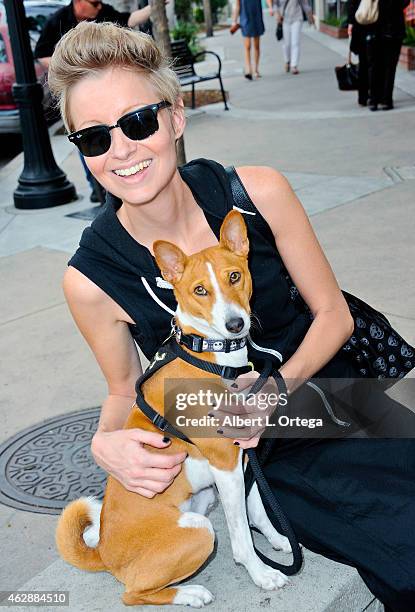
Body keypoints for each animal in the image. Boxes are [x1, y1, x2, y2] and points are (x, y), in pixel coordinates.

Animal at [55, 212, 290, 608]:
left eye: (234, 276)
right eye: (200, 290)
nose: (235, 325)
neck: (208, 355)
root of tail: (103, 552)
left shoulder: (244, 453)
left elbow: (256, 506)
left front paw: (275, 540)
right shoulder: (225, 462)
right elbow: (241, 535)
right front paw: (261, 574)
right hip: (200, 532)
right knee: (133, 594)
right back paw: (190, 593)